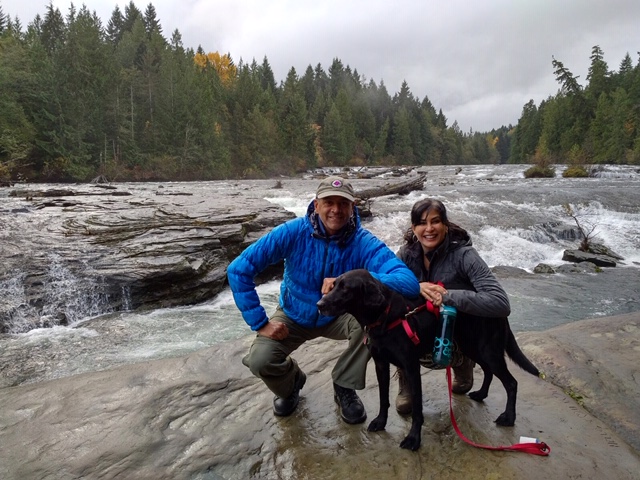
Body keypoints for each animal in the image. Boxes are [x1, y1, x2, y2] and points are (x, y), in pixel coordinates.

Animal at [316, 269, 540, 450]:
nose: (319, 304)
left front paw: (413, 439)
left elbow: (417, 409)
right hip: (474, 347)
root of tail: (498, 308)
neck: (386, 316)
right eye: (334, 285)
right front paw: (380, 422)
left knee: (511, 383)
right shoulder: (381, 365)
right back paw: (481, 394)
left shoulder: (411, 367)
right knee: (488, 371)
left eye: (346, 289)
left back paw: (508, 418)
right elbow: (383, 398)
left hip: (487, 350)